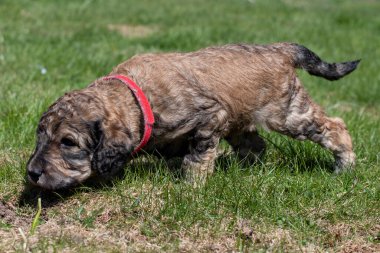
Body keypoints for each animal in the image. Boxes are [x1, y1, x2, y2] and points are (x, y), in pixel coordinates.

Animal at [26, 43, 360, 190]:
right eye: (40, 137)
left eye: (68, 143)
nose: (32, 173)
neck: (136, 97)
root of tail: (281, 50)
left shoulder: (211, 116)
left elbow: (198, 155)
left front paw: (191, 185)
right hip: (241, 121)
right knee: (255, 145)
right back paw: (244, 169)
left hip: (288, 113)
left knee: (334, 126)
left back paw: (344, 164)